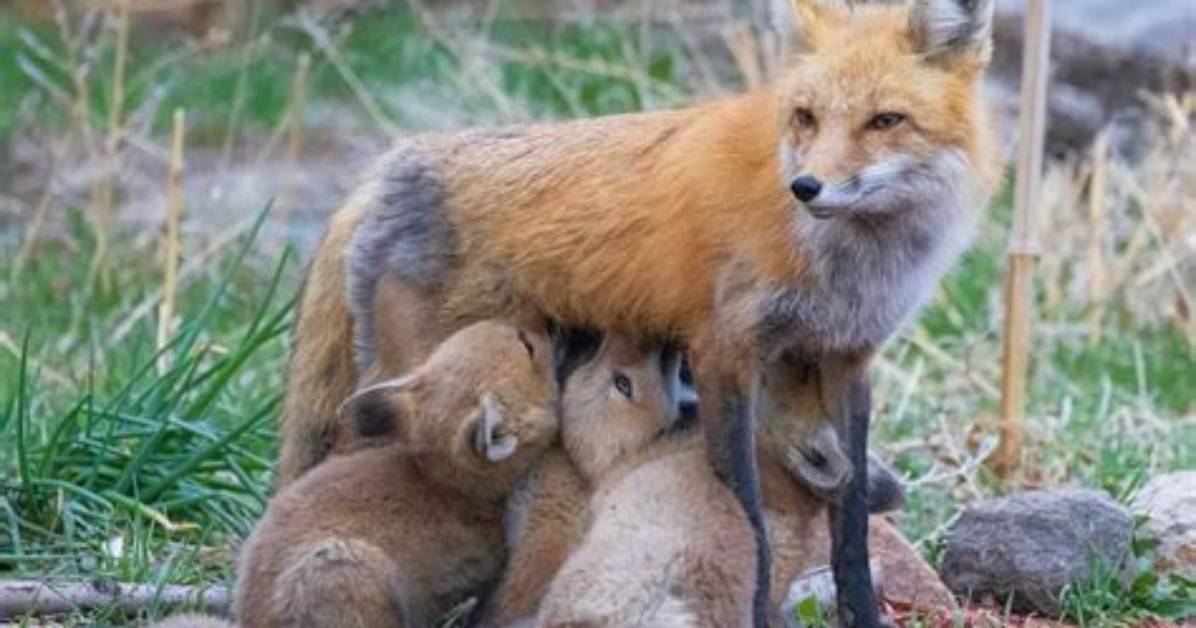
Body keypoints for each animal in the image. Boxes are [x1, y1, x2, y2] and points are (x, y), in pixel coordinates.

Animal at [279, 0, 1000, 624]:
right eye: (805, 117)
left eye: (885, 121)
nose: (806, 187)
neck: (854, 264)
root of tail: (389, 164)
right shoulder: (726, 356)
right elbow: (748, 516)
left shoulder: (847, 359)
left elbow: (849, 529)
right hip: (410, 387)